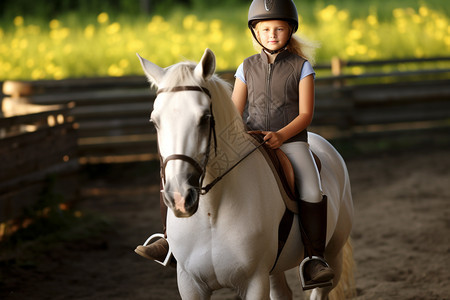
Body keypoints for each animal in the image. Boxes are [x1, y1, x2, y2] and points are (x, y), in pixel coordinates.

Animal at [137, 48, 356, 298]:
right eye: (155, 121)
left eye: (204, 119)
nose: (180, 198)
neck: (211, 212)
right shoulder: (189, 283)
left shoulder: (254, 281)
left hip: (333, 255)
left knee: (320, 288)